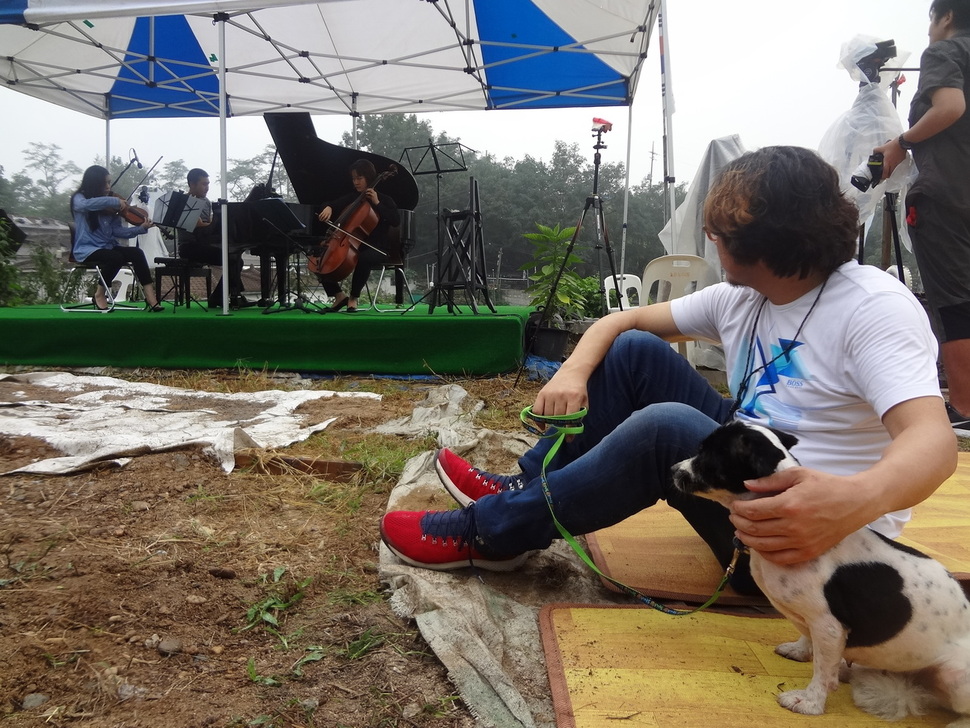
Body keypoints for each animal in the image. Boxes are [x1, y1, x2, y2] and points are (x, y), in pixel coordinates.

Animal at [668, 420, 968, 724]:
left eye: (707, 455)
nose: (673, 468)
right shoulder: (815, 625)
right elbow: (810, 640)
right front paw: (800, 651)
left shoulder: (829, 626)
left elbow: (822, 672)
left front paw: (810, 702)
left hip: (955, 677)